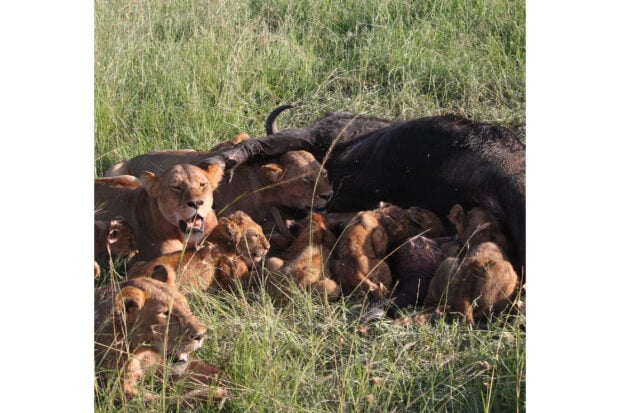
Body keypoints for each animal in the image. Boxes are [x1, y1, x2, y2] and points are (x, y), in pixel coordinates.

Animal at [93, 270, 226, 402]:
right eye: (165, 313)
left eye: (185, 305)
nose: (201, 335)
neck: (139, 351)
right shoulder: (115, 389)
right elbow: (168, 400)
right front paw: (214, 395)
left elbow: (207, 368)